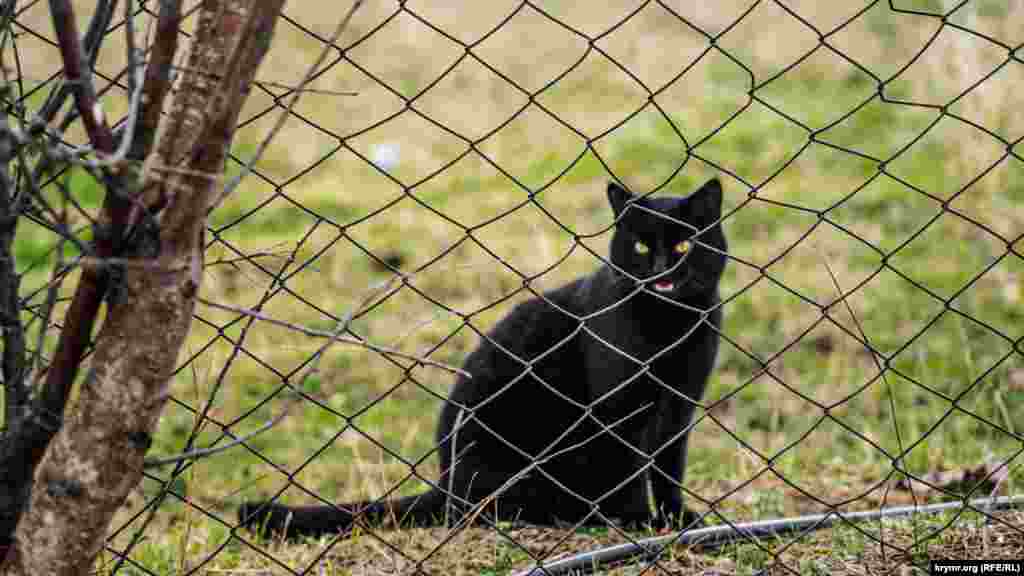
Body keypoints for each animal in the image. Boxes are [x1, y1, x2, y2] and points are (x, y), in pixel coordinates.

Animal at [237, 177, 729, 537]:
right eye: (642, 246)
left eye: (684, 245)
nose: (662, 268)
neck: (670, 324)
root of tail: (445, 482)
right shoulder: (618, 407)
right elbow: (630, 469)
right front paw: (638, 520)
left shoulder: (678, 406)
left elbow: (668, 468)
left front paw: (676, 518)